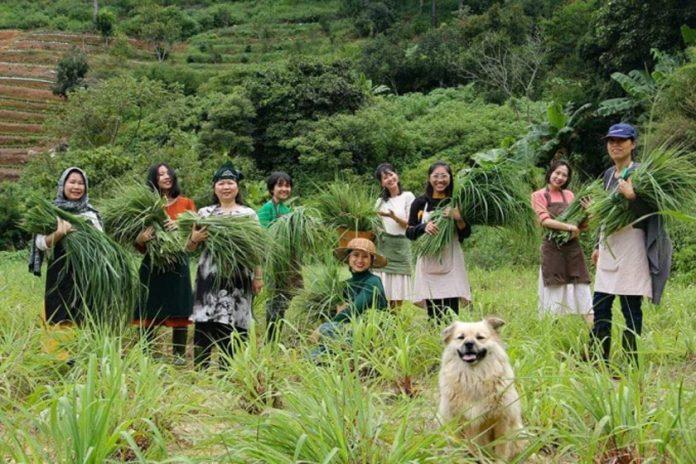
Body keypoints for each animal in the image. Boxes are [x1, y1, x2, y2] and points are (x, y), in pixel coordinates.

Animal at [440, 318, 520, 458]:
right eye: (461, 337)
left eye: (480, 337)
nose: (469, 344)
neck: (473, 378)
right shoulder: (456, 419)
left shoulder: (502, 419)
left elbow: (501, 448)